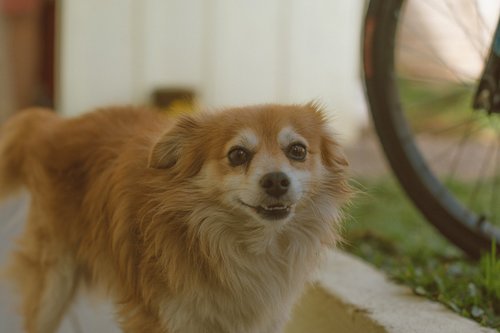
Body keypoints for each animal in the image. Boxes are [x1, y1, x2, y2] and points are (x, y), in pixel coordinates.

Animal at [0, 102, 352, 330]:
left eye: (298, 151)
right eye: (237, 155)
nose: (276, 180)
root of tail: (54, 125)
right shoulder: (162, 318)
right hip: (53, 283)